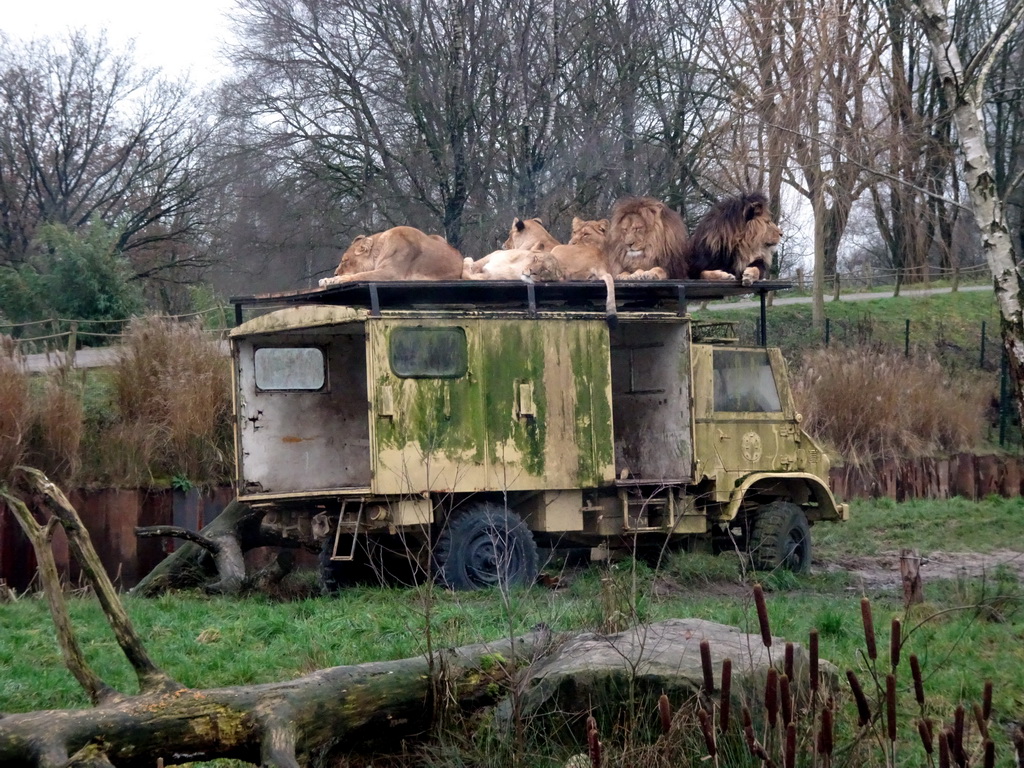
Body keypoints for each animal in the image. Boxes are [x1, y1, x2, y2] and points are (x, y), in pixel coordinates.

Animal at [317, 228, 466, 290]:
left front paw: (335, 279)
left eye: (344, 260)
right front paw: (327, 279)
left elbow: (360, 275)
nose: (335, 273)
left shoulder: (391, 273)